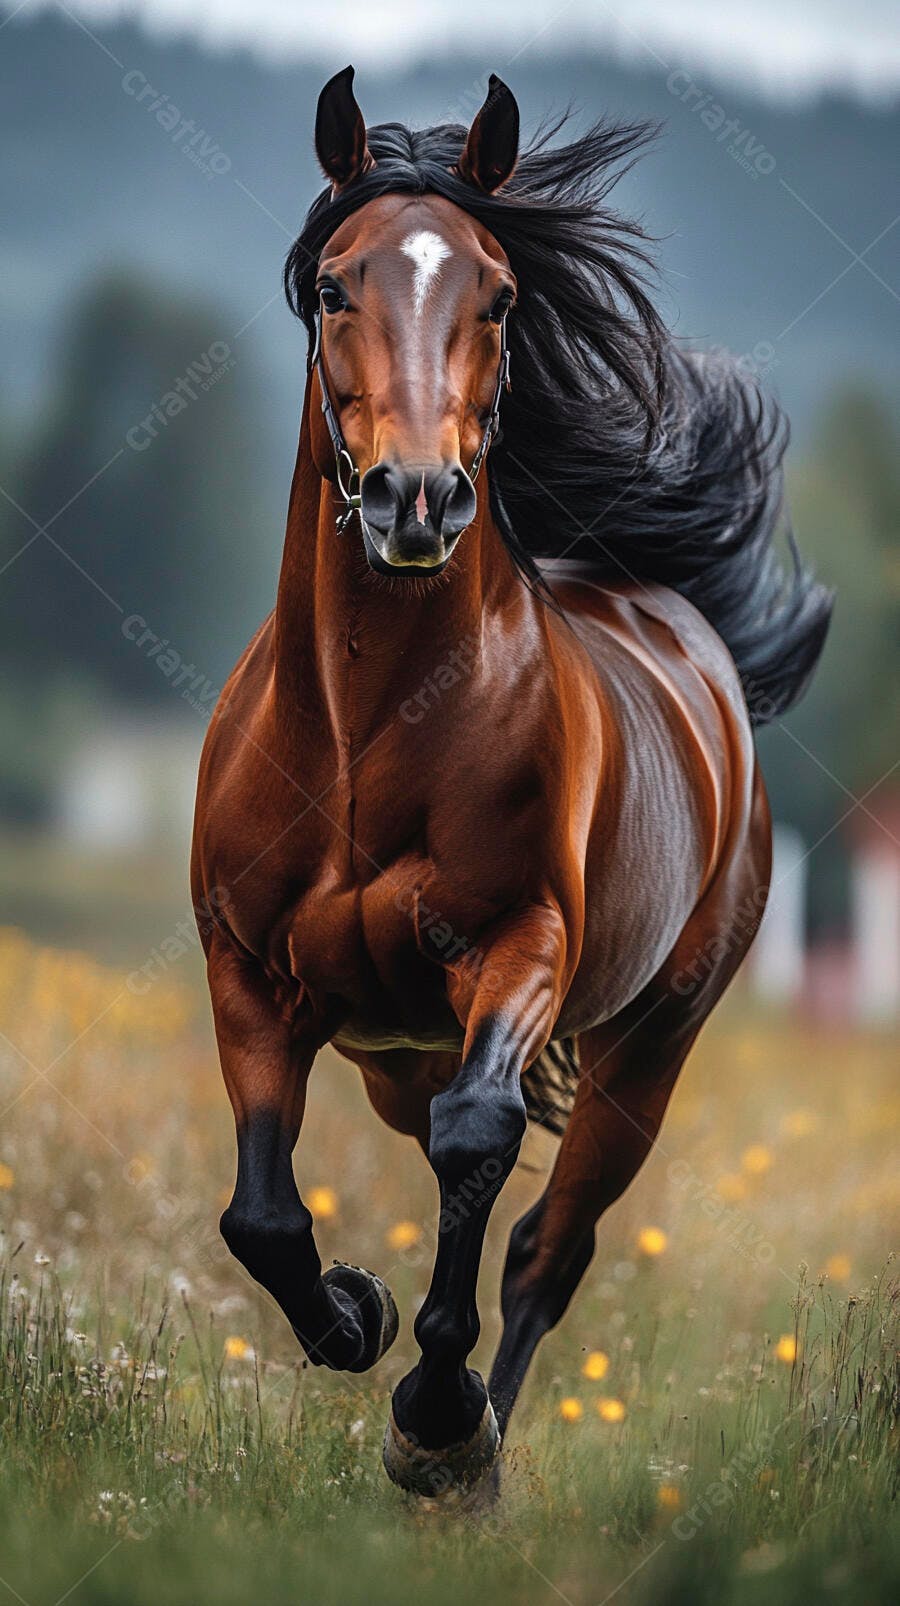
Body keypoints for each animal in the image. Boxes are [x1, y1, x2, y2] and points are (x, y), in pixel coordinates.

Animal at [191, 67, 832, 1495]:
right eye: (334, 286)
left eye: (495, 293)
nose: (416, 501)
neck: (365, 736)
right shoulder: (247, 970)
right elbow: (262, 1212)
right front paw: (354, 1312)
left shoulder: (519, 946)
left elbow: (478, 1148)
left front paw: (433, 1410)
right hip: (390, 1044)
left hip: (651, 1043)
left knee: (550, 1237)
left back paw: (471, 1444)